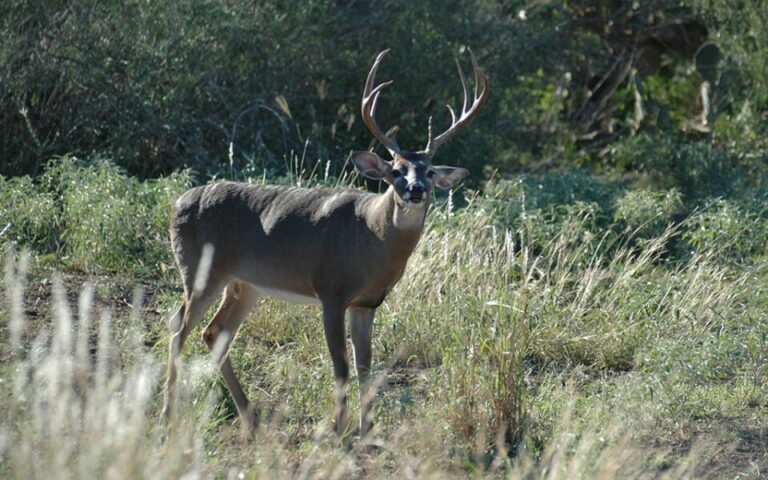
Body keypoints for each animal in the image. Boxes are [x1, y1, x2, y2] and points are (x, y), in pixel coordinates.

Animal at [162, 48, 492, 438]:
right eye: (396, 171)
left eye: (428, 170)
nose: (415, 190)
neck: (372, 238)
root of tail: (177, 204)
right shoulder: (331, 290)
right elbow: (341, 366)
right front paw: (336, 432)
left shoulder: (367, 302)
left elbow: (366, 367)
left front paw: (368, 432)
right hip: (201, 271)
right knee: (179, 329)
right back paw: (167, 415)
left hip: (245, 284)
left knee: (213, 333)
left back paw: (250, 418)